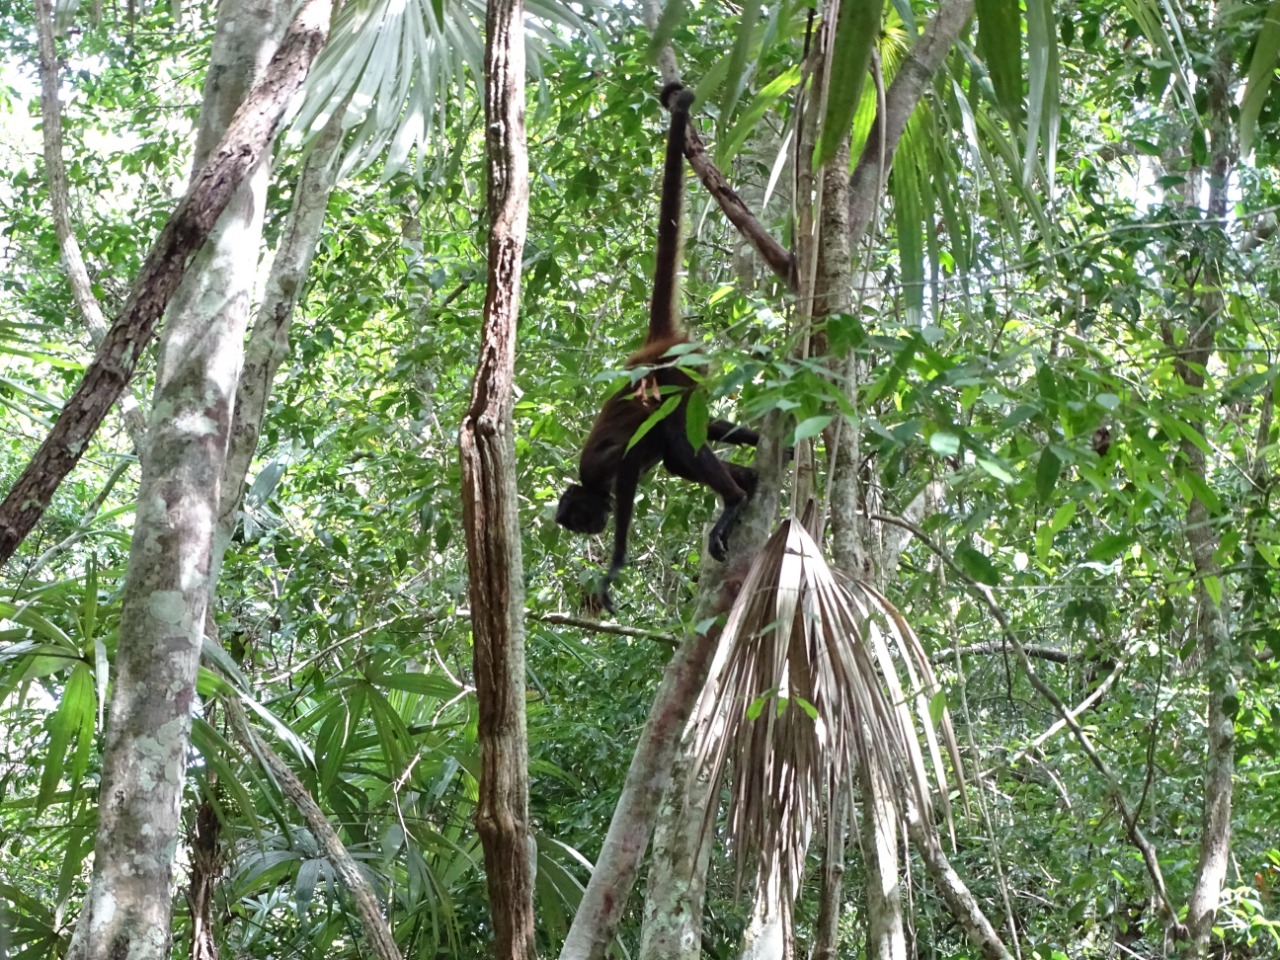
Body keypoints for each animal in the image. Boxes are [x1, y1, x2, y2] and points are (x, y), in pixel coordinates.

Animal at [556, 83, 760, 612]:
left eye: (579, 519)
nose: (591, 527)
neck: (593, 484)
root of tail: (653, 347)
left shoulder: (604, 468)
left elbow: (632, 463)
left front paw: (614, 565)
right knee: (684, 438)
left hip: (675, 371)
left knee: (676, 441)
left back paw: (733, 500)